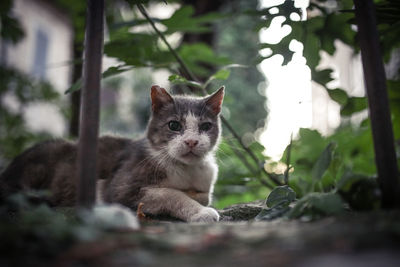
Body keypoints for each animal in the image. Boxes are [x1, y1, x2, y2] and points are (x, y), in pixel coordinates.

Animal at [0, 86, 225, 224]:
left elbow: (203, 195)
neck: (187, 170)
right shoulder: (118, 188)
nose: (191, 141)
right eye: (174, 125)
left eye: (205, 126)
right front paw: (201, 211)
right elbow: (169, 194)